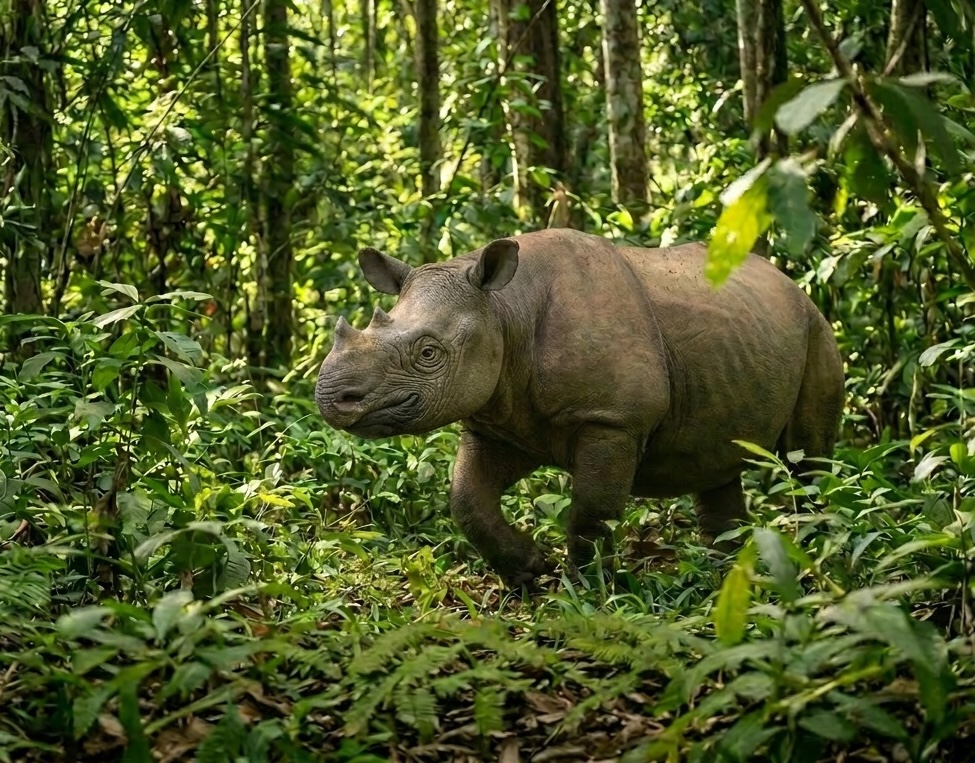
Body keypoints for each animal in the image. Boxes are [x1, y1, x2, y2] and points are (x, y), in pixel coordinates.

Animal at [315, 229, 844, 586]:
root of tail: (789, 281)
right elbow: (467, 499)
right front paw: (529, 573)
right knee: (717, 463)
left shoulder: (612, 420)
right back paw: (727, 577)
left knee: (808, 459)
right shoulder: (499, 421)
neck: (503, 310)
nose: (333, 398)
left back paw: (813, 554)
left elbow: (592, 509)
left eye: (428, 353)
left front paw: (588, 589)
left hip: (817, 327)